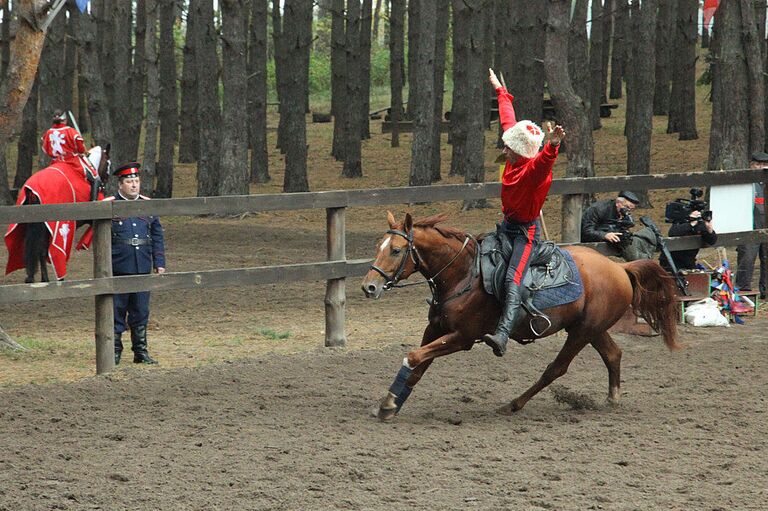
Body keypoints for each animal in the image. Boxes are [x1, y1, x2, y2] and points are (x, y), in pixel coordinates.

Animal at [4, 145, 111, 284]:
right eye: (108, 163)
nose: (104, 183)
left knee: (37, 250)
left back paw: (37, 279)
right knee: (42, 250)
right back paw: (50, 278)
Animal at [360, 212, 680, 420]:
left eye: (396, 250)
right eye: (377, 246)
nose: (369, 286)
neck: (464, 275)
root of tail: (620, 269)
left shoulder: (462, 338)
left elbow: (414, 357)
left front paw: (389, 404)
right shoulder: (435, 329)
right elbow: (417, 366)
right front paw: (390, 404)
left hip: (582, 333)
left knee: (556, 369)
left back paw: (512, 405)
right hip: (591, 329)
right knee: (613, 354)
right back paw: (612, 399)